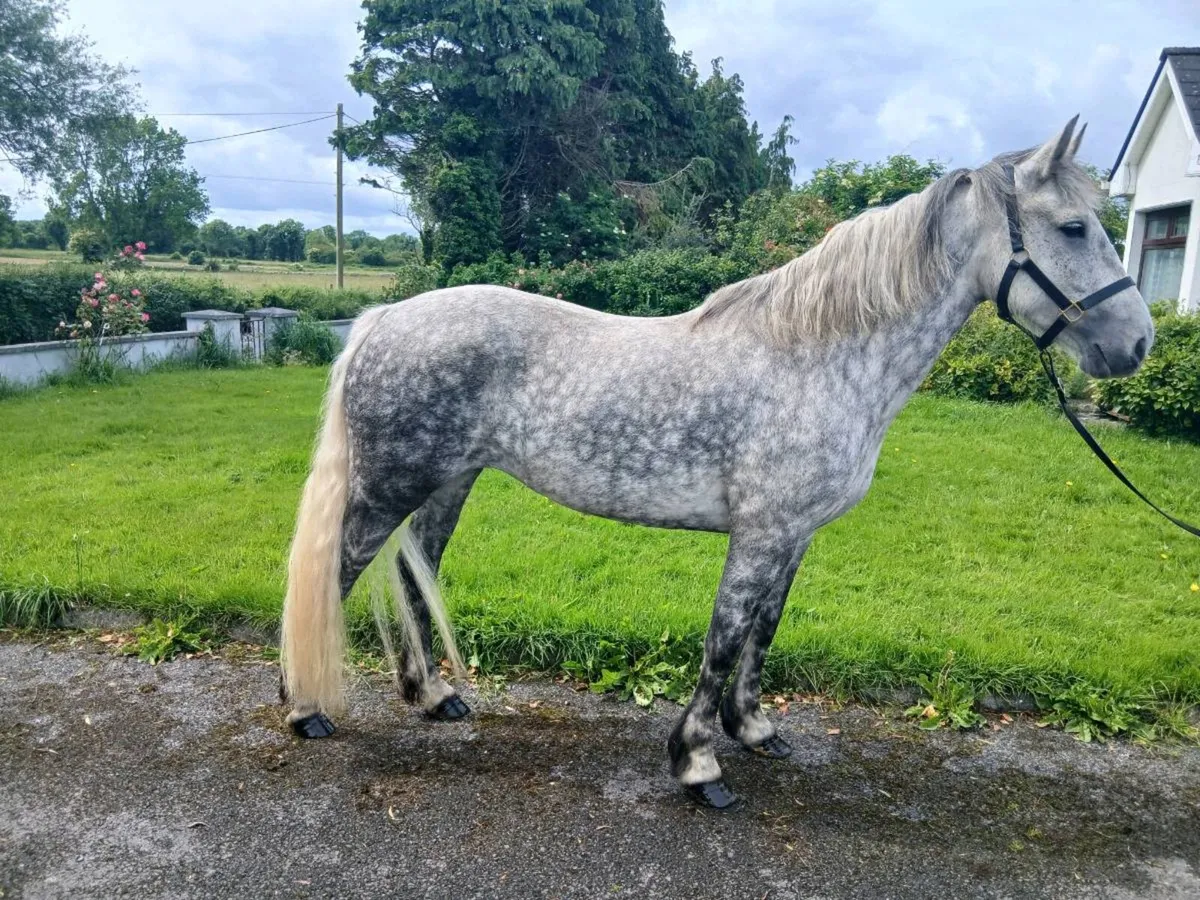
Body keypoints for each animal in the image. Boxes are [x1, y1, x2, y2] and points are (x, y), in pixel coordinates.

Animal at [280, 118, 1153, 808]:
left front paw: (755, 729)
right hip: (388, 488)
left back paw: (432, 698)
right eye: (1074, 227)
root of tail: (383, 317)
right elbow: (725, 636)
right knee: (334, 575)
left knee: (413, 573)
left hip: (448, 484)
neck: (819, 356)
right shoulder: (760, 533)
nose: (1138, 344)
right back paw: (302, 708)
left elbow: (764, 630)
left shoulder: (794, 536)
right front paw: (698, 765)